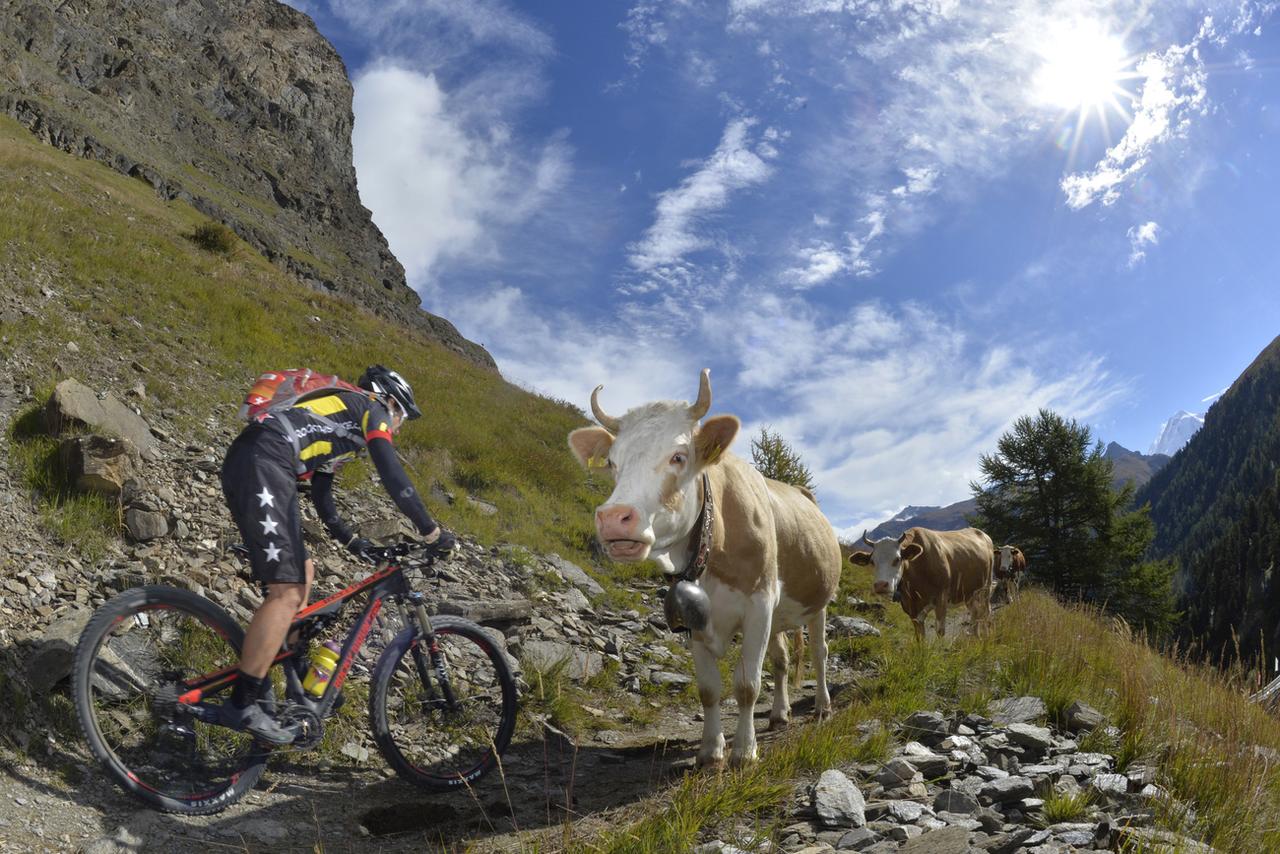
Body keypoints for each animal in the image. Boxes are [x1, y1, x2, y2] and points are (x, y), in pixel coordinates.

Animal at [568, 371, 844, 773]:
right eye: (613, 464)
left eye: (678, 456)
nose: (614, 518)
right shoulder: (696, 616)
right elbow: (709, 689)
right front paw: (711, 752)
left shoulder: (760, 602)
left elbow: (746, 685)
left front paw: (744, 752)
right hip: (780, 614)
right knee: (781, 660)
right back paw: (780, 714)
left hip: (818, 602)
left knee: (820, 652)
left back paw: (823, 706)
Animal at [855, 527, 993, 640]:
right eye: (872, 561)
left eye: (897, 559)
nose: (880, 585)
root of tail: (983, 534)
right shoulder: (911, 608)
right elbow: (919, 636)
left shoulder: (941, 598)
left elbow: (940, 631)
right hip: (969, 592)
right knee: (975, 611)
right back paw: (975, 637)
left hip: (986, 587)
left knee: (986, 611)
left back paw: (986, 637)